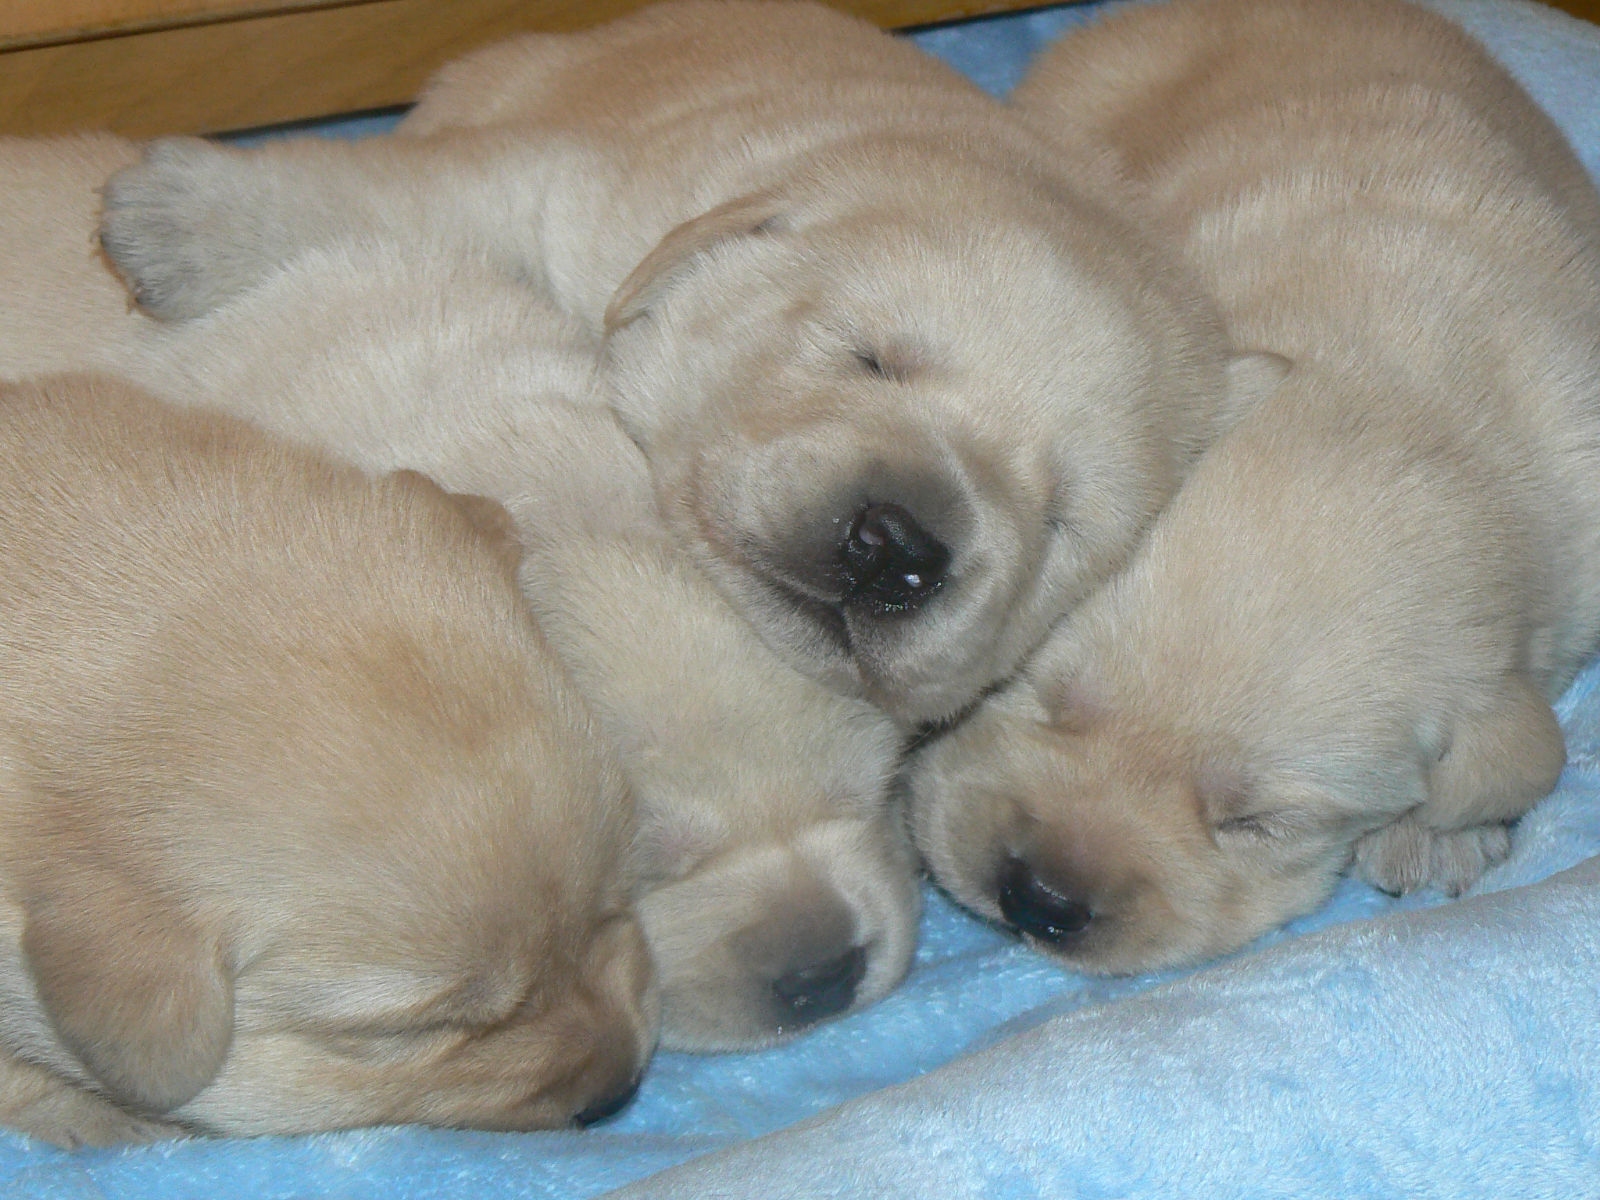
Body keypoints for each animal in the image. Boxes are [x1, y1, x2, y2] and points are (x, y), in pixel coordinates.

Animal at [96, 0, 1286, 723]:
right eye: (870, 358)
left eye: (1062, 522)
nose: (898, 548)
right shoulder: (573, 188)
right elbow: (403, 194)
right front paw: (177, 220)